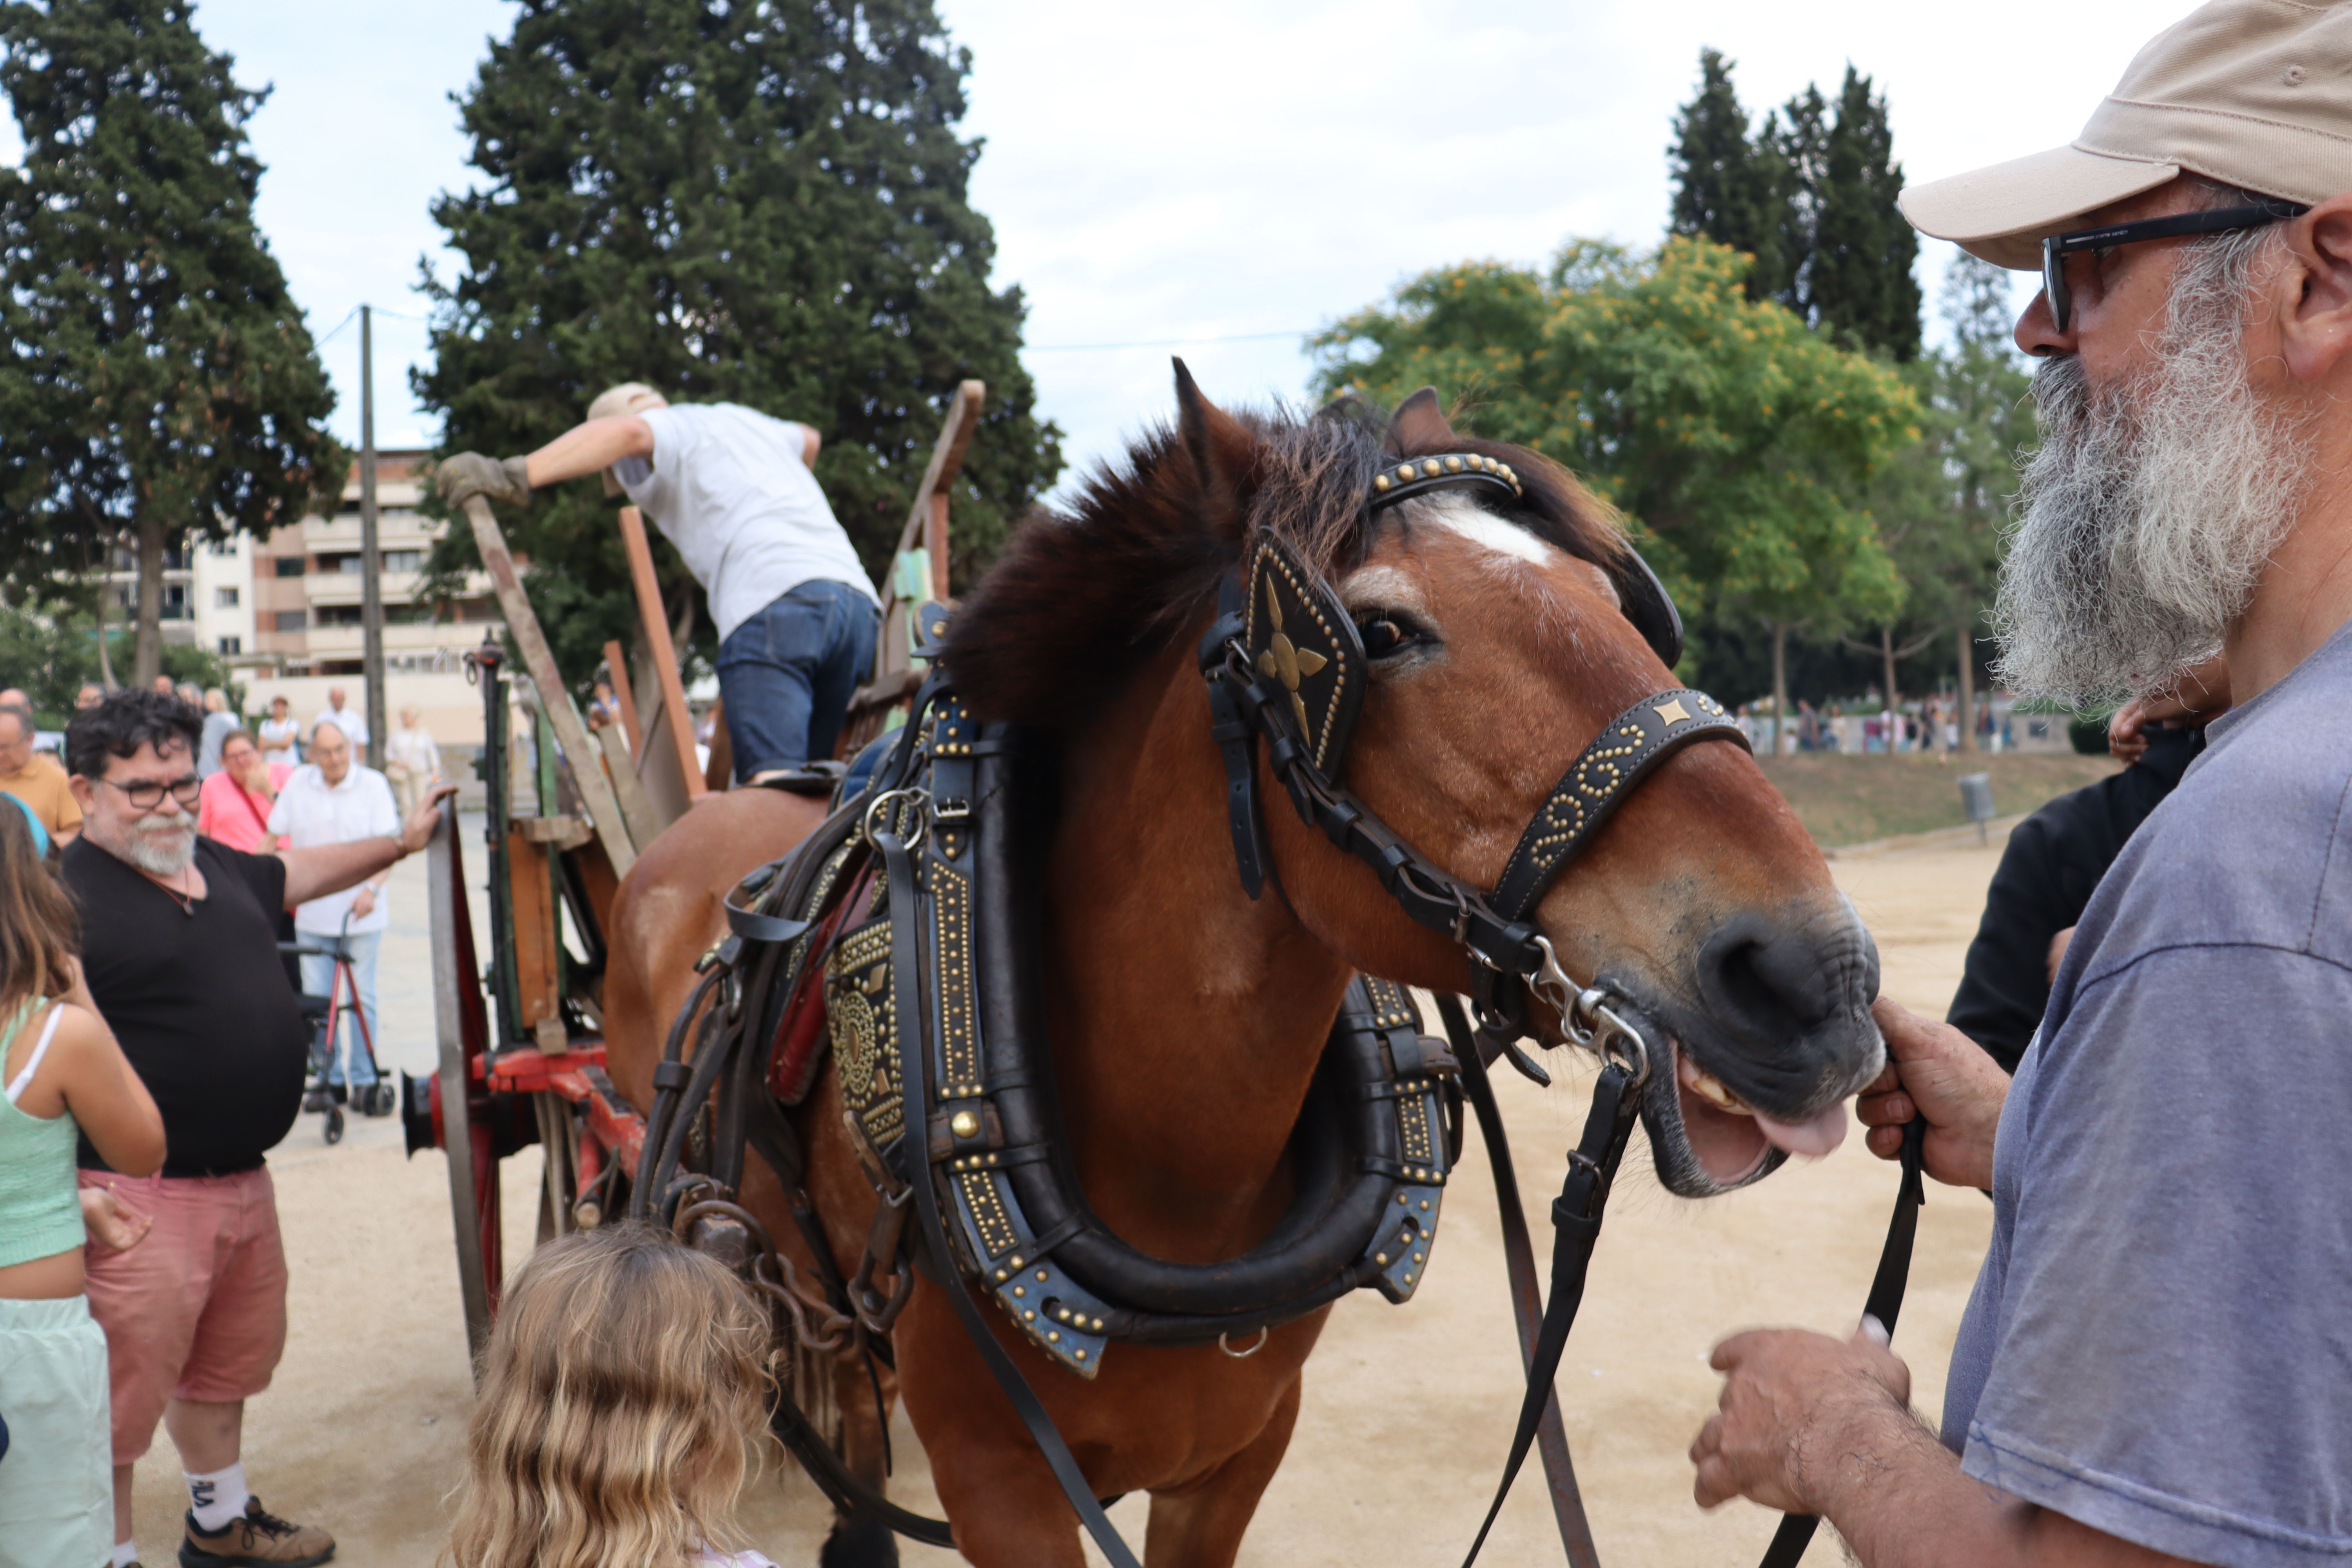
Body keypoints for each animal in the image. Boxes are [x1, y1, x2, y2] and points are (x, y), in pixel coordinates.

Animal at [602, 376, 1872, 1568]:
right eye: (1381, 633)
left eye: (1616, 605)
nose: (1818, 978)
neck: (1179, 1186)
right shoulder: (996, 1477)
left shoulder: (1238, 1453)